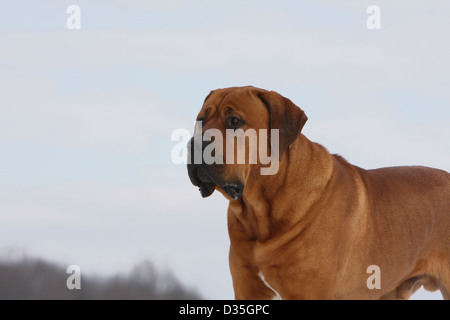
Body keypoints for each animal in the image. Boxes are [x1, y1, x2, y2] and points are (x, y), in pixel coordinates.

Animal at [186, 85, 450, 300]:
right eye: (201, 120)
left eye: (234, 121)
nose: (195, 144)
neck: (259, 212)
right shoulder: (247, 287)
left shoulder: (309, 291)